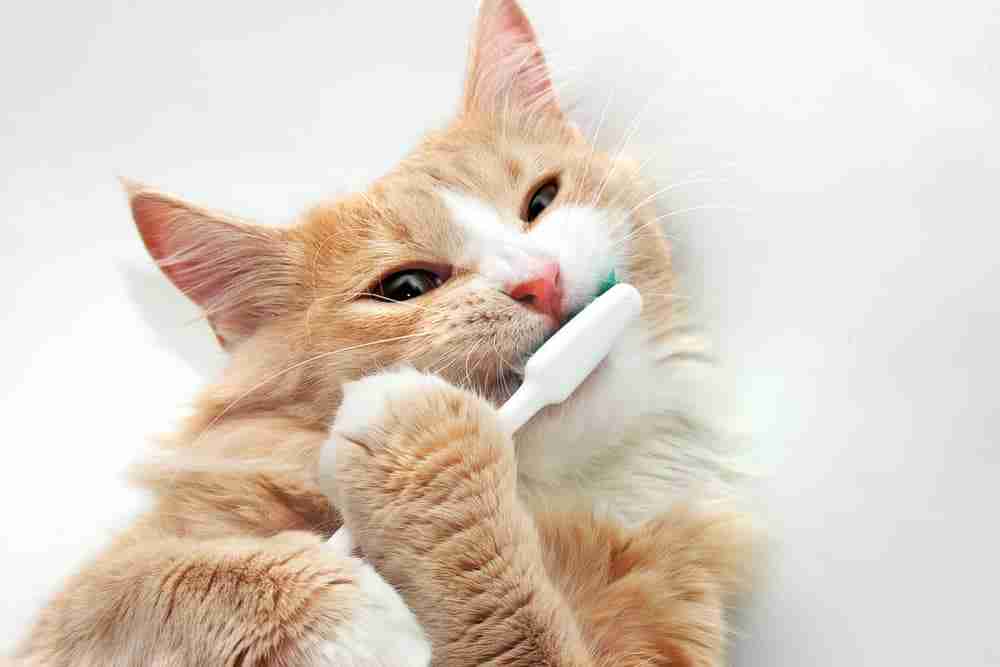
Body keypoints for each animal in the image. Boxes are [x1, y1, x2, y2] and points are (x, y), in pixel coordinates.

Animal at [17, 1, 752, 667]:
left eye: (540, 202)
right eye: (405, 287)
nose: (539, 280)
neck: (550, 499)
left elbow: (520, 628)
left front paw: (419, 440)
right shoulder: (77, 614)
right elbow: (148, 584)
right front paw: (341, 612)